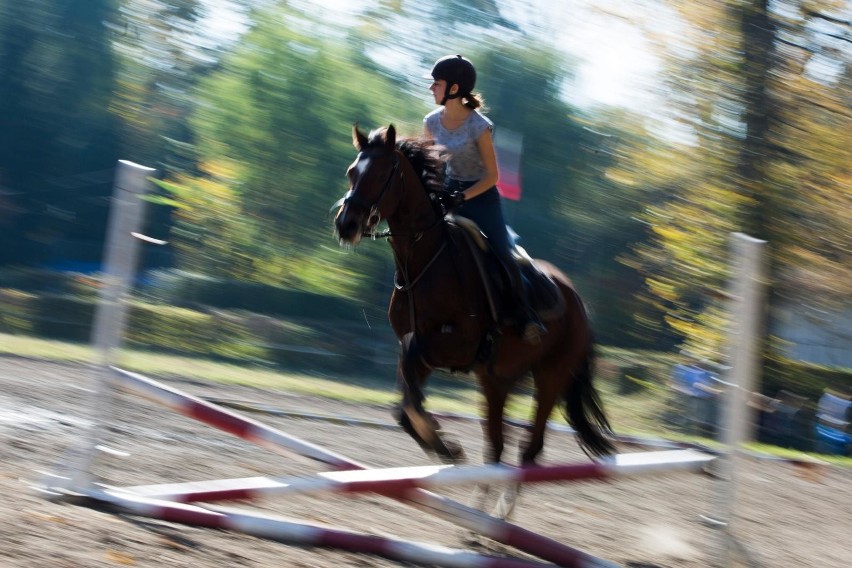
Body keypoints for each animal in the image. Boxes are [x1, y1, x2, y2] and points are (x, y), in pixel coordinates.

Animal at [332, 123, 612, 466]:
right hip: (497, 378)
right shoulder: (423, 347)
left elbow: (412, 368)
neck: (424, 259)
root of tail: (578, 301)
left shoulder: (459, 343)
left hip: (551, 374)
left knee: (531, 446)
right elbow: (405, 399)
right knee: (497, 444)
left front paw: (435, 434)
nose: (347, 225)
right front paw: (440, 441)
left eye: (383, 173)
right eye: (352, 172)